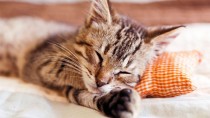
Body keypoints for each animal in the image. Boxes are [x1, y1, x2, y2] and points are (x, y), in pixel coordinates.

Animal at [0, 0, 182, 118]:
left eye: (124, 72)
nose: (100, 82)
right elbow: (68, 72)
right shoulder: (42, 60)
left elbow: (81, 94)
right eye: (99, 56)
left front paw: (115, 99)